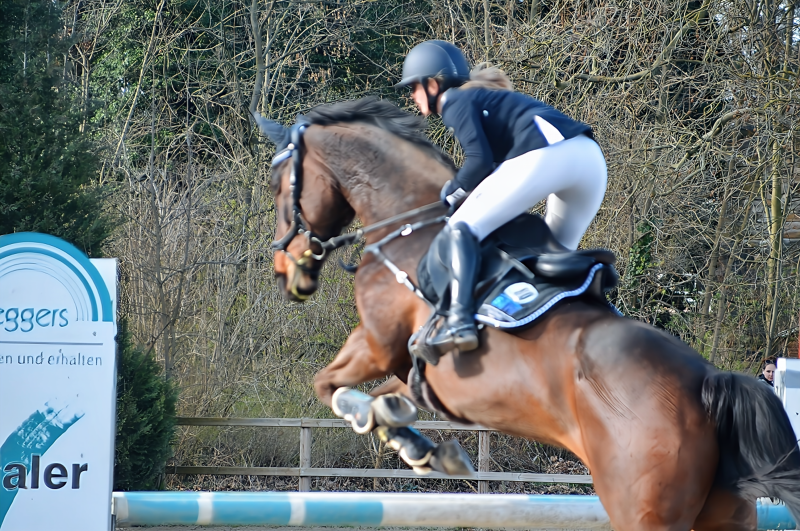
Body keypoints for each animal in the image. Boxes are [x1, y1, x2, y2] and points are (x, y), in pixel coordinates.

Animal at [255, 96, 800, 531]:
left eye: (279, 183)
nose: (283, 268)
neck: (407, 224)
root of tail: (709, 383)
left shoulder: (377, 341)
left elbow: (329, 385)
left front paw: (383, 423)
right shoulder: (421, 374)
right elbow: (388, 396)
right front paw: (413, 440)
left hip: (643, 509)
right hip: (724, 515)